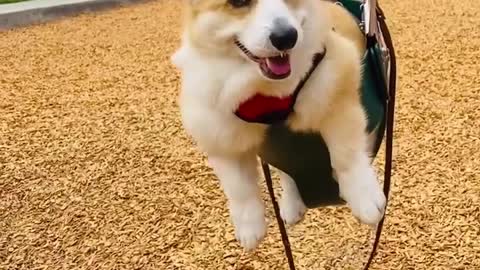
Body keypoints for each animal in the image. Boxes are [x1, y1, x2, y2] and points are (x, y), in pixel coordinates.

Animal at [172, 0, 386, 251]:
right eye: (238, 3)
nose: (286, 37)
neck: (263, 91)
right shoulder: (220, 136)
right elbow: (239, 188)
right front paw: (250, 228)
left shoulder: (336, 93)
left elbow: (346, 155)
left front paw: (364, 197)